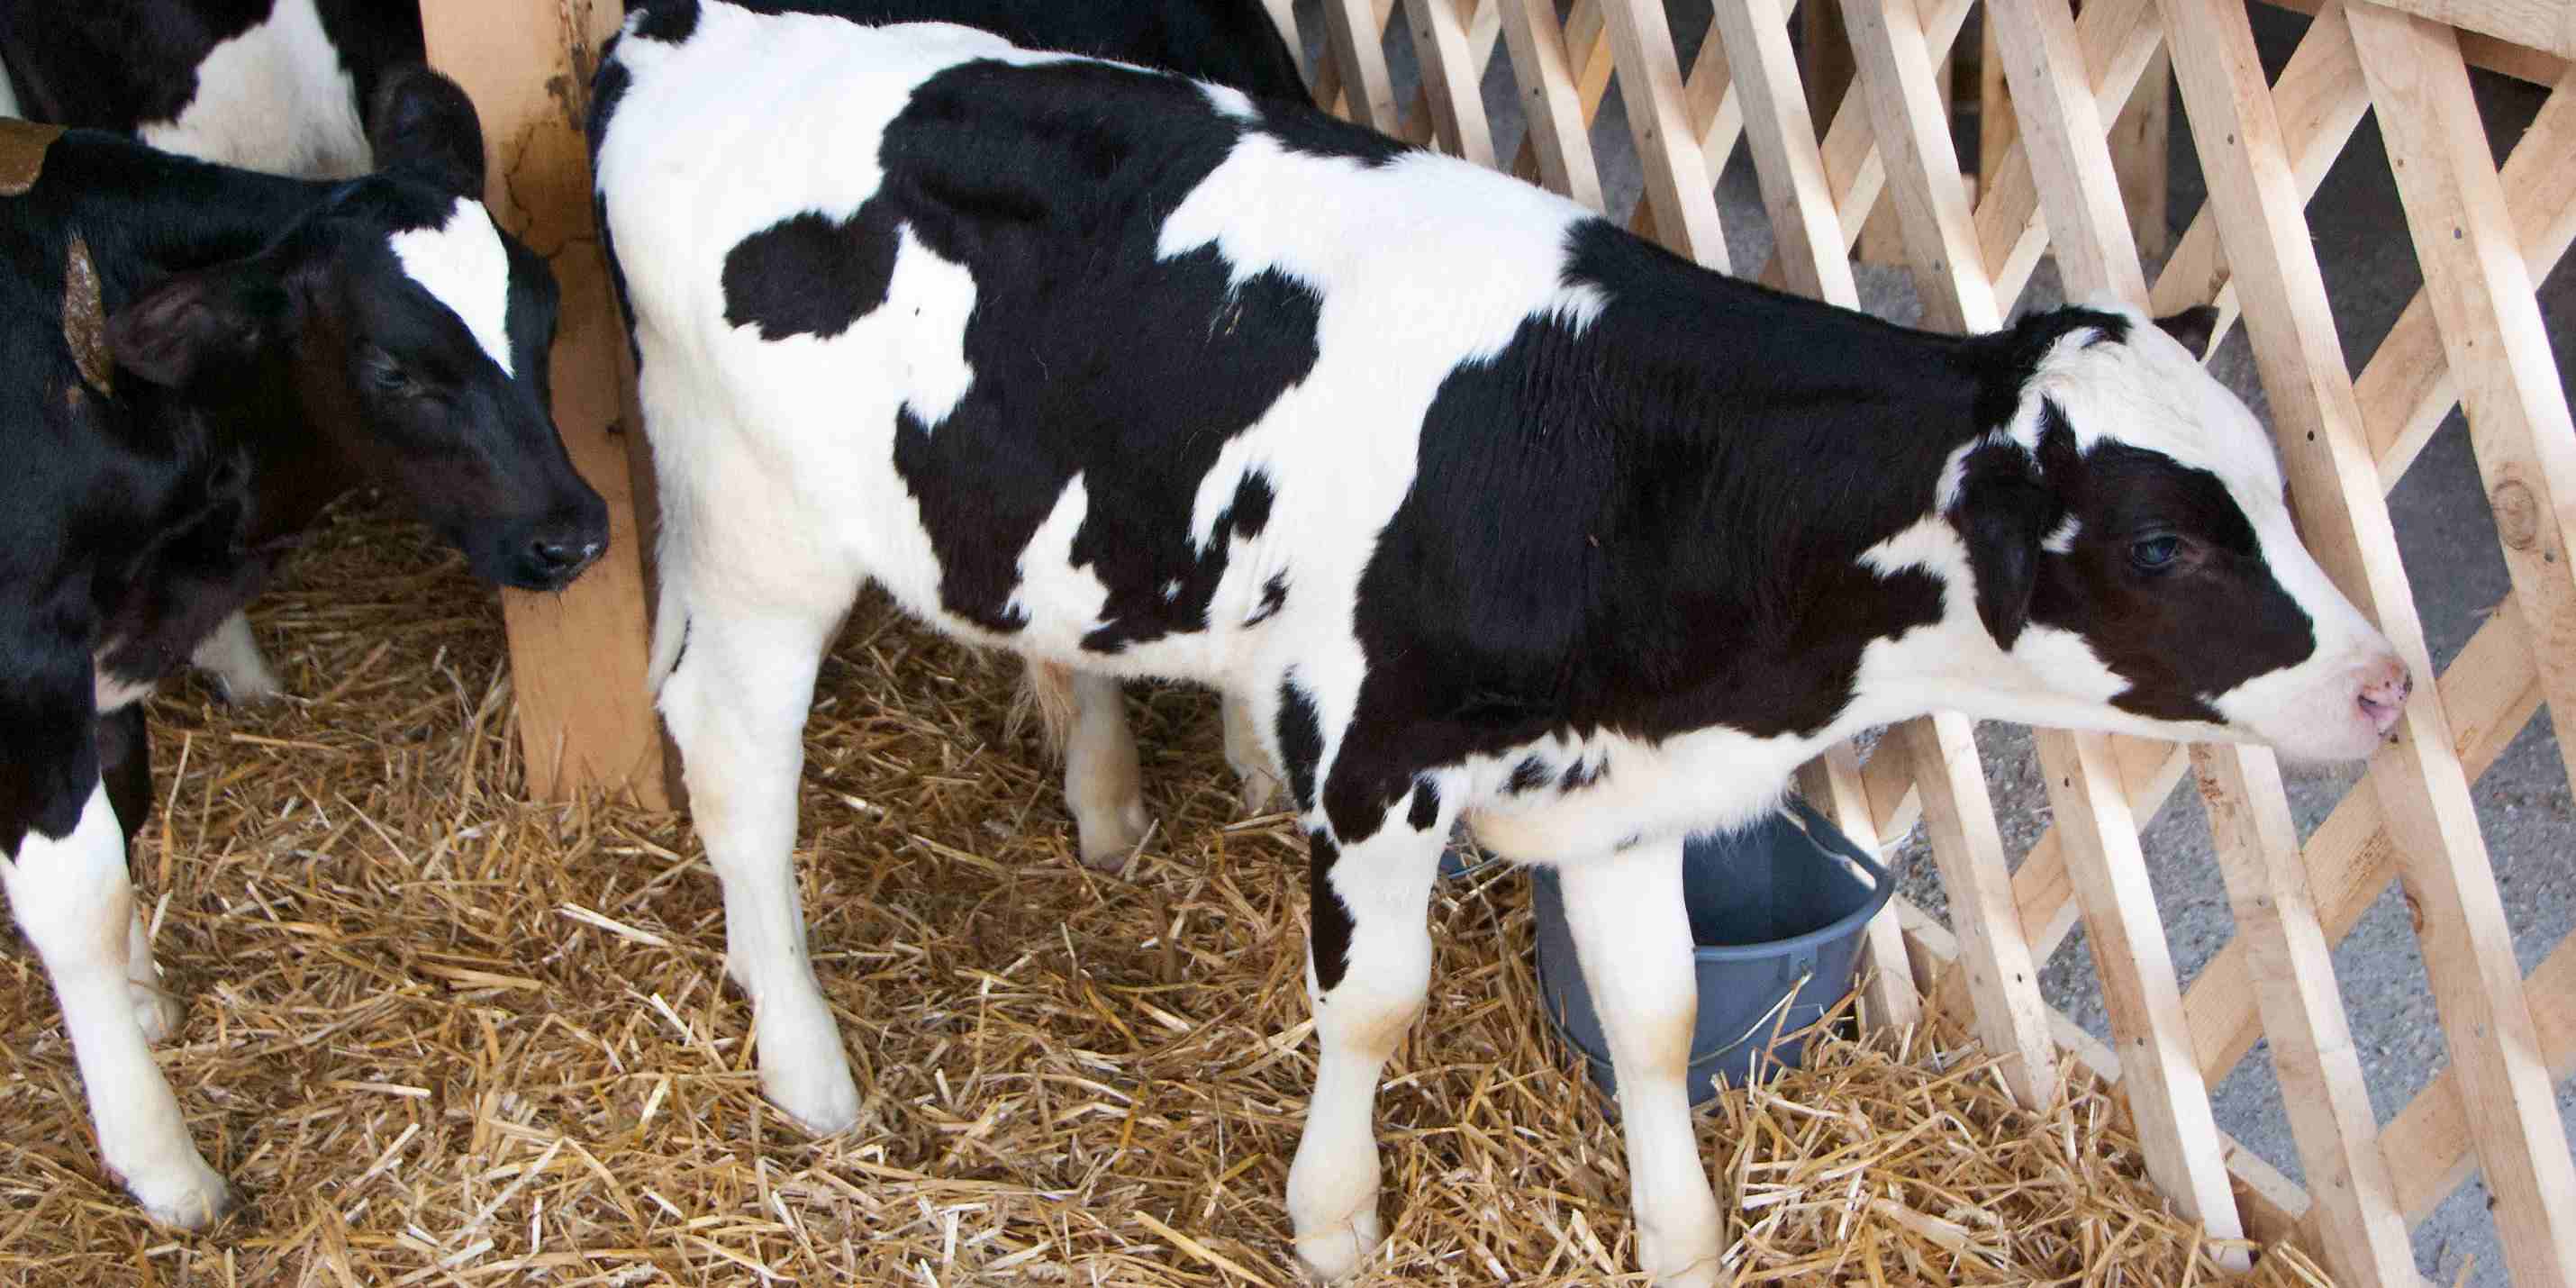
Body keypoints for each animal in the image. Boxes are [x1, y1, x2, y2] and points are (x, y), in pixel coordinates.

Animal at [0, 70, 605, 1226]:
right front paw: (162, 1160)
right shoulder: (24, 665)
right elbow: (78, 897)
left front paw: (141, 997)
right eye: (390, 367)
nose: (576, 533)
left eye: (548, 311)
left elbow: (126, 813)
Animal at [592, 5, 2400, 1283]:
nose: (2387, 681)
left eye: (2277, 484)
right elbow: (1374, 1004)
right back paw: (810, 1074)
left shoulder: (1623, 787)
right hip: (753, 528)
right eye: (2162, 541)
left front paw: (1682, 1244)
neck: (1614, 460)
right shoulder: (1378, 756)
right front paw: (1335, 1219)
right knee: (732, 765)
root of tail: (702, 29)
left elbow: (1657, 1014)